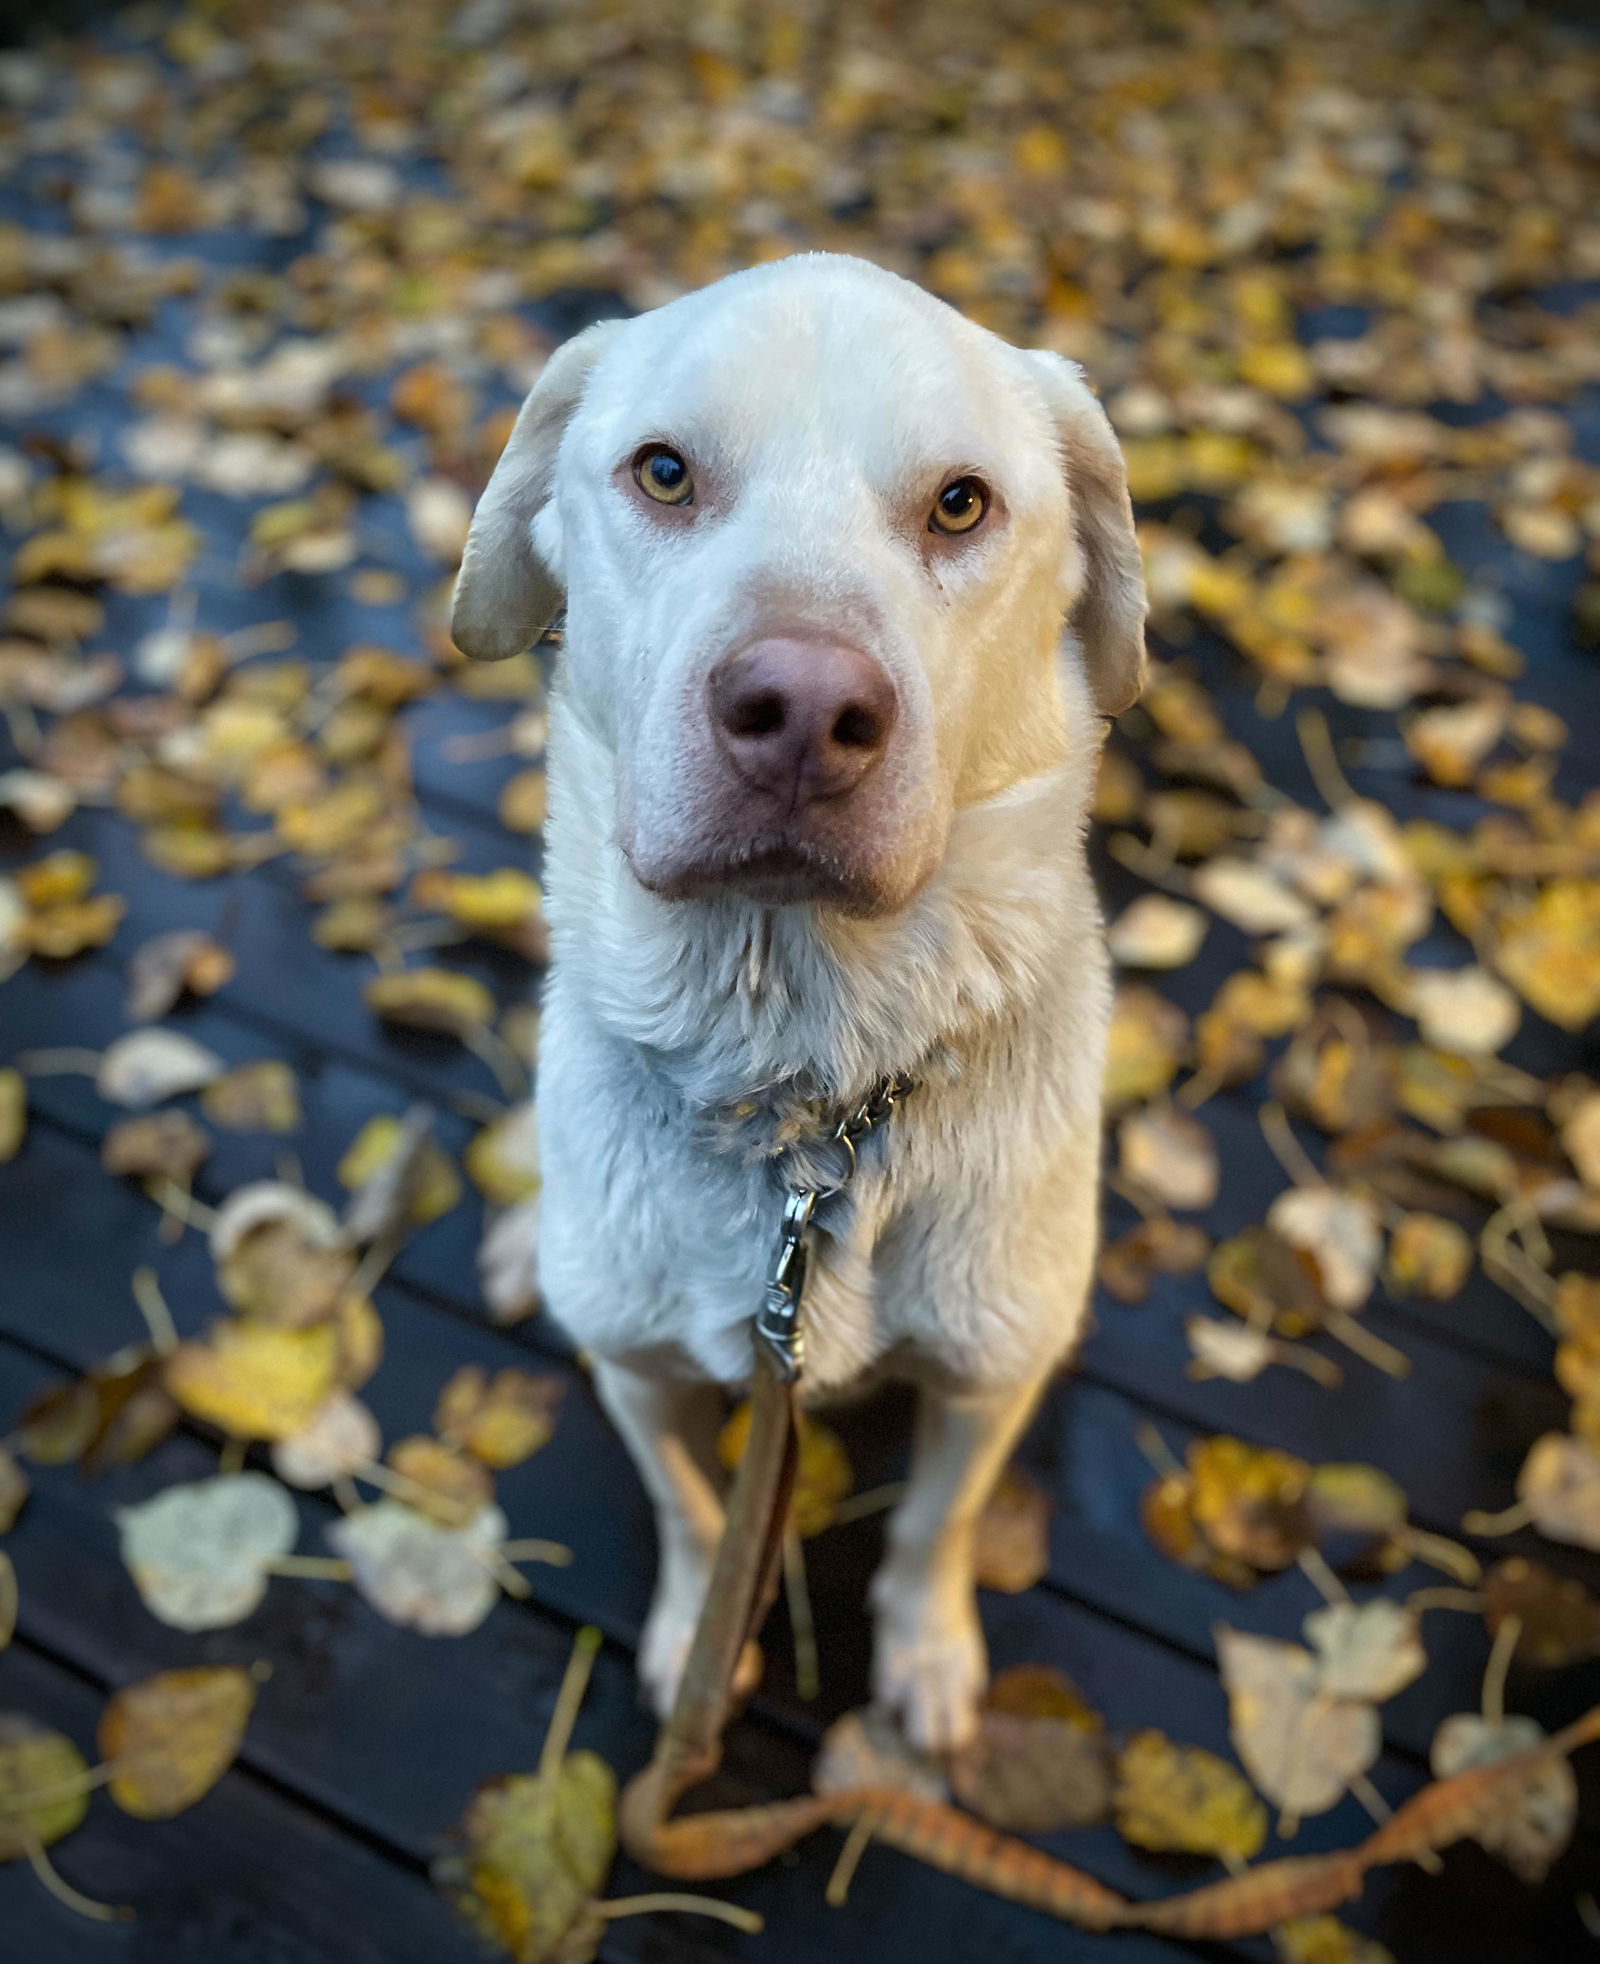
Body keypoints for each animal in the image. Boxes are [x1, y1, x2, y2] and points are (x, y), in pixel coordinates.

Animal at [457, 249, 1146, 1751]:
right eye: (663, 472)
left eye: (961, 502)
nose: (803, 709)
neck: (803, 1080)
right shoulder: (639, 1370)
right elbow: (684, 1505)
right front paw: (692, 1640)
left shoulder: (988, 1375)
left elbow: (936, 1527)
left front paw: (926, 1656)